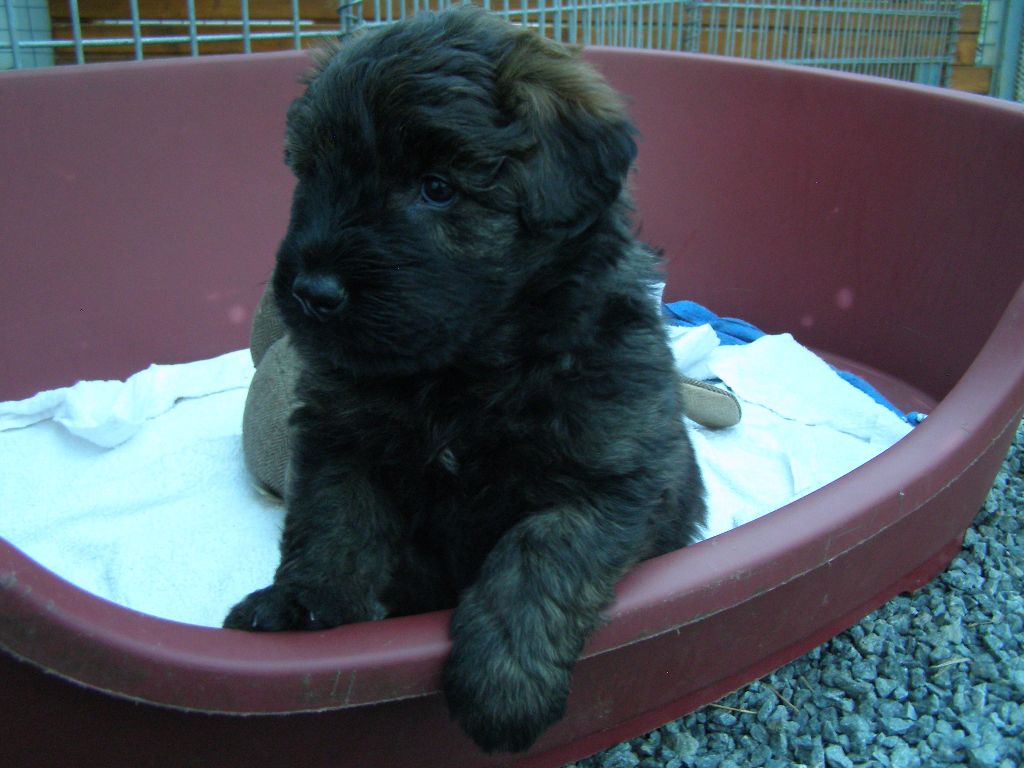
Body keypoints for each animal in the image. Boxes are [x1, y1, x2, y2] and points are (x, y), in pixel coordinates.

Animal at [224, 4, 704, 753]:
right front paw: (306, 605)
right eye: (315, 175)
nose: (312, 292)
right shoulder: (342, 439)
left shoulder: (609, 479)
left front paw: (503, 683)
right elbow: (334, 526)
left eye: (438, 187)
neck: (466, 373)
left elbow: (538, 554)